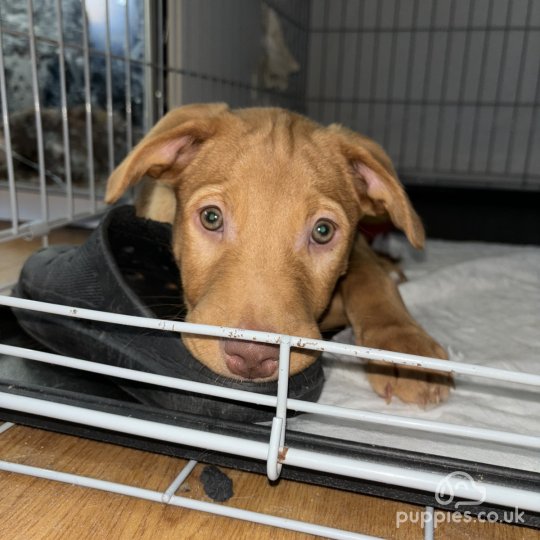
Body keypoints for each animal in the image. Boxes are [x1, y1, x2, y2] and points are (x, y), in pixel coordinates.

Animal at [105, 103, 452, 408]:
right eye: (211, 218)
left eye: (323, 231)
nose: (252, 357)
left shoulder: (355, 251)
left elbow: (370, 277)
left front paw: (403, 348)